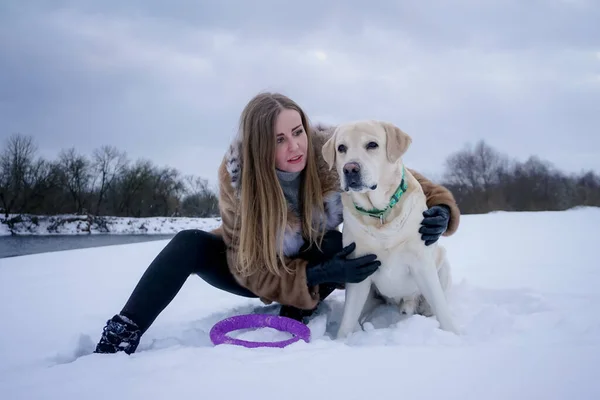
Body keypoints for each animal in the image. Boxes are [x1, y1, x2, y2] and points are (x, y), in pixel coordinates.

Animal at [324, 119, 460, 338]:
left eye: (372, 145)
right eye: (341, 148)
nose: (350, 168)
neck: (380, 215)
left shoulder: (422, 263)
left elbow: (441, 307)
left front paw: (455, 334)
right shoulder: (358, 270)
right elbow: (348, 318)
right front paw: (342, 340)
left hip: (442, 264)